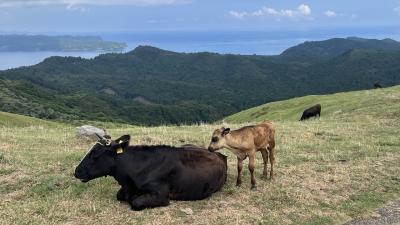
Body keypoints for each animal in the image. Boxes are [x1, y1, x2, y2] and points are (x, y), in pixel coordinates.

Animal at [73, 134, 227, 210]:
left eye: (95, 154)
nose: (76, 171)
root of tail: (220, 155)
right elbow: (119, 195)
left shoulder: (161, 194)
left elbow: (135, 202)